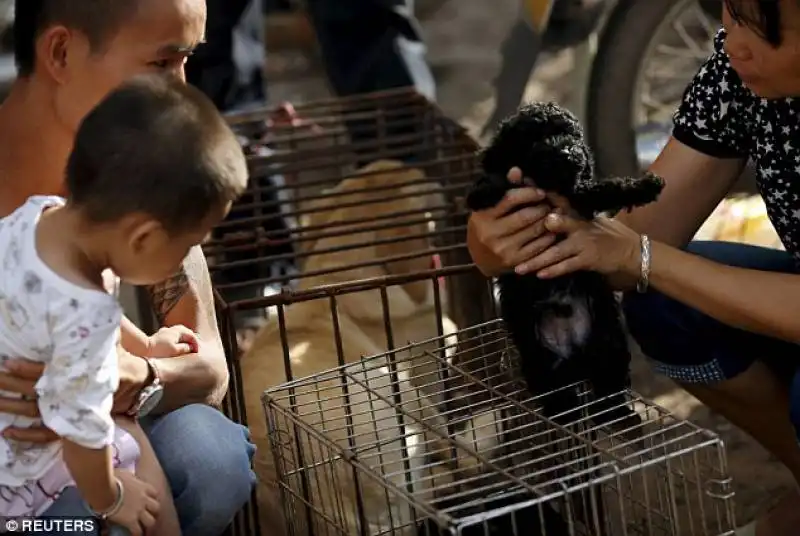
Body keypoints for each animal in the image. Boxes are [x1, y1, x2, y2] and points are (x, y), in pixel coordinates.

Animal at [468, 102, 664, 432]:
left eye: (572, 135)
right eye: (534, 139)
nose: (568, 153)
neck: (550, 186)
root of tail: (574, 356)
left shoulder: (578, 199)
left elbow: (601, 188)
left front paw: (645, 186)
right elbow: (501, 180)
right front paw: (485, 188)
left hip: (608, 341)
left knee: (608, 388)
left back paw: (622, 419)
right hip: (539, 357)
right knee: (557, 394)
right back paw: (566, 418)